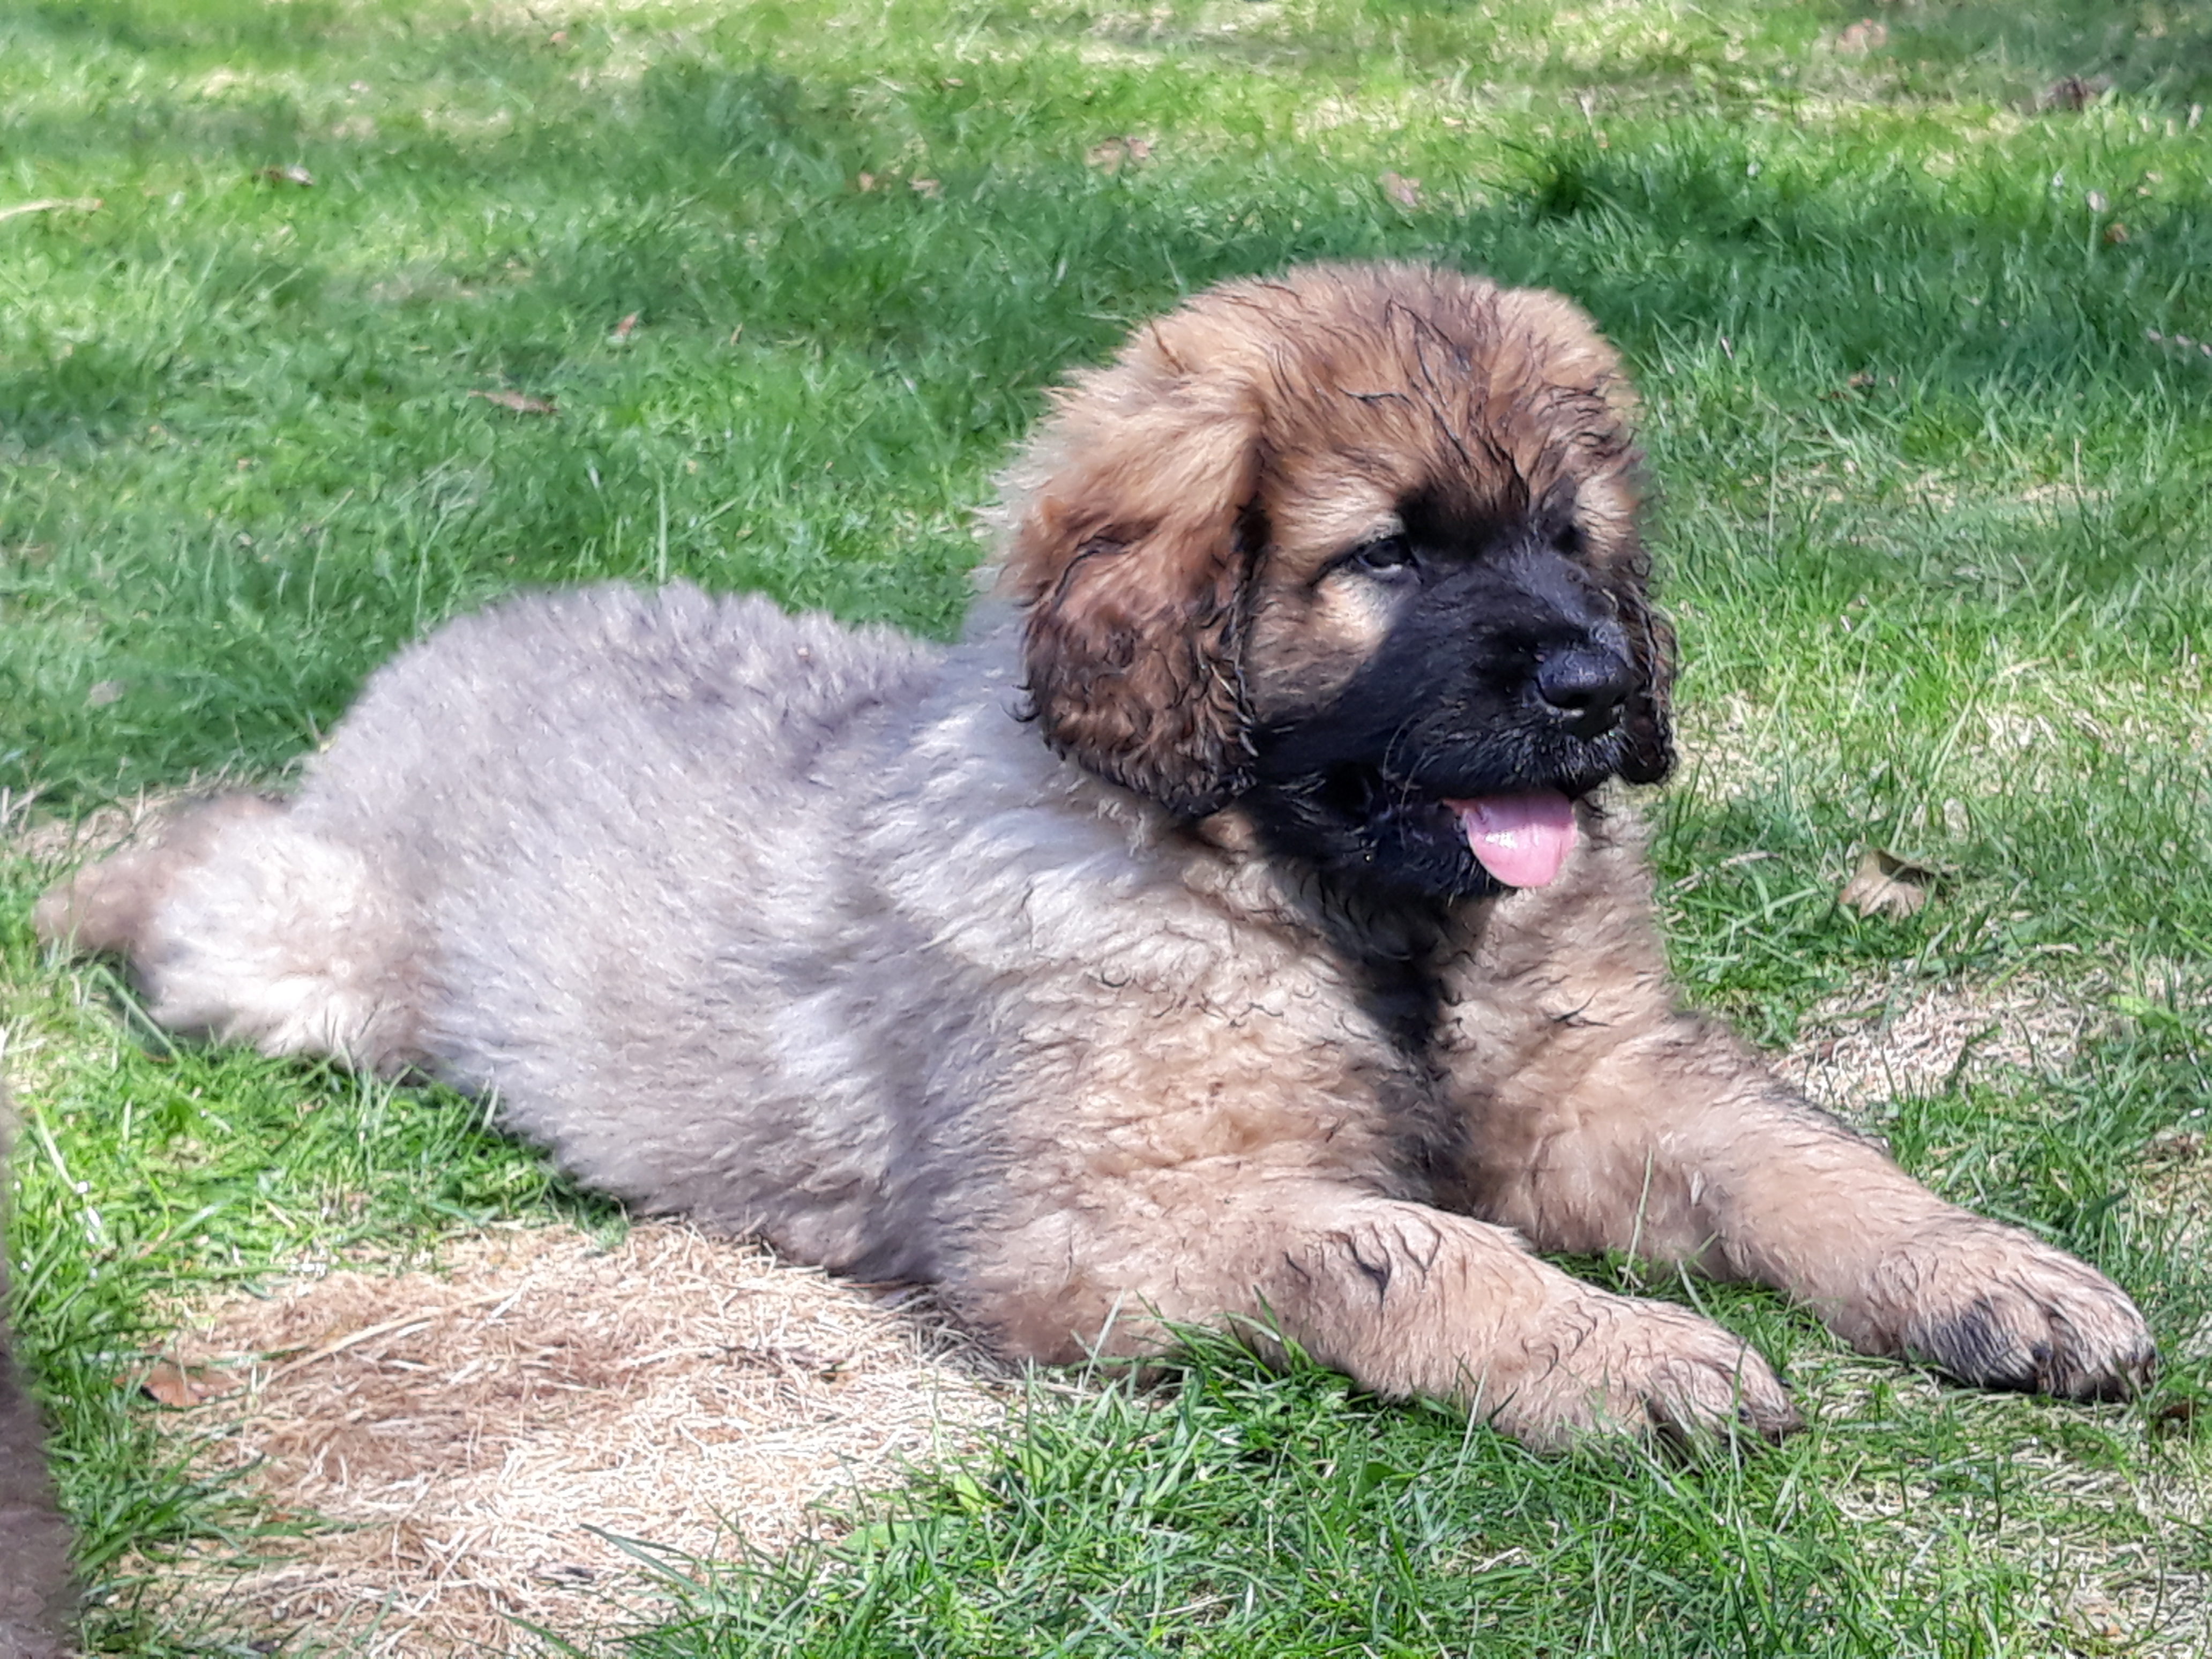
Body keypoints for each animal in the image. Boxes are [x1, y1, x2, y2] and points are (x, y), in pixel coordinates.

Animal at [35, 263, 2152, 1446]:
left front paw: (1998, 1279)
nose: (1594, 684)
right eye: (1388, 555)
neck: (1335, 911)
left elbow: (1805, 1159)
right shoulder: (1098, 1221)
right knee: (212, 860)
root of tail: (470, 625)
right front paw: (1614, 1353)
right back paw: (81, 881)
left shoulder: (1603, 1088)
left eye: (1569, 538)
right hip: (313, 954)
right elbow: (1394, 1245)